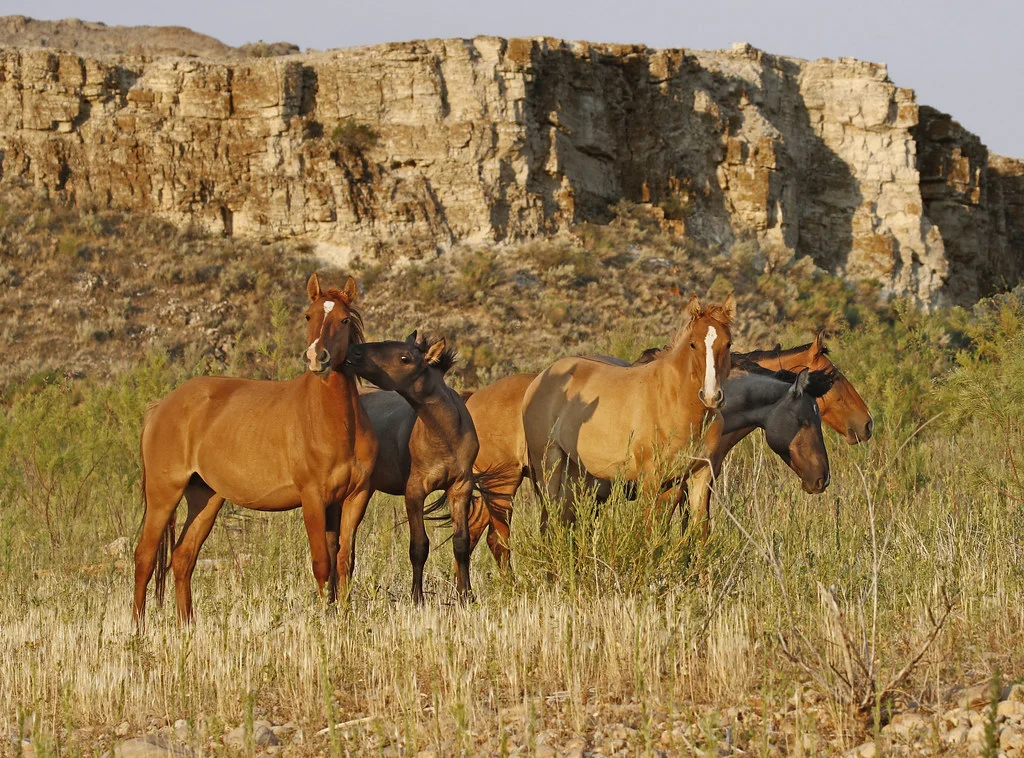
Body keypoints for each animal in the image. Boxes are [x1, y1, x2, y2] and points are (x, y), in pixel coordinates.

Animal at [134, 273, 377, 624]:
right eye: (309, 316)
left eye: (344, 319)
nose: (317, 357)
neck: (335, 424)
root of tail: (161, 405)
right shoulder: (312, 498)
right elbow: (321, 564)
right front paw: (322, 622)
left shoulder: (354, 497)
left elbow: (343, 563)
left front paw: (341, 619)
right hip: (164, 493)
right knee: (145, 557)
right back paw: (137, 629)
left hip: (206, 497)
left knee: (182, 557)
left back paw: (186, 627)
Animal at [343, 333, 479, 603]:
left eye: (405, 357)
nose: (353, 352)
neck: (447, 436)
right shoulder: (415, 491)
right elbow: (419, 546)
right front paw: (417, 598)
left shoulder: (460, 488)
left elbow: (461, 543)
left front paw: (466, 596)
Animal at [521, 295, 735, 527]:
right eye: (693, 344)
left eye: (728, 343)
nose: (711, 396)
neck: (674, 402)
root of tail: (540, 379)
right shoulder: (651, 480)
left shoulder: (699, 477)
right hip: (549, 464)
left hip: (575, 470)